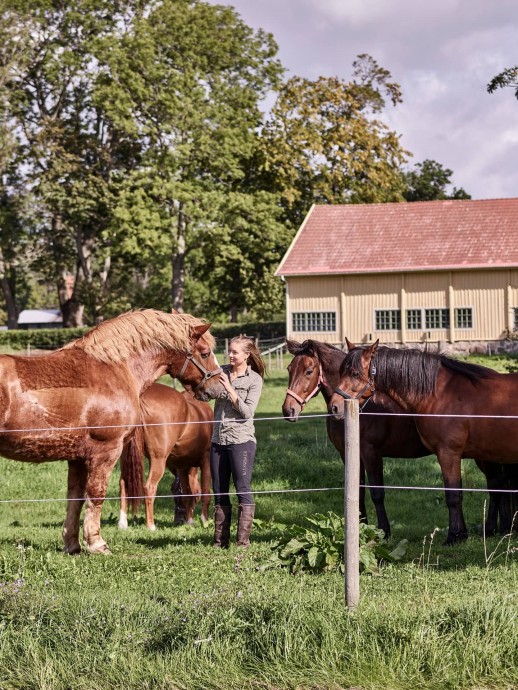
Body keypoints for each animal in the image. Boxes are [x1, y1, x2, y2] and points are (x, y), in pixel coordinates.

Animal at [120, 382, 213, 528]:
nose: (179, 520)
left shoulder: (182, 467)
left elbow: (188, 494)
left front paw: (190, 521)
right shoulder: (206, 461)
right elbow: (204, 493)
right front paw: (204, 521)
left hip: (127, 459)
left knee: (124, 484)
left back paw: (123, 523)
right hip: (158, 460)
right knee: (149, 487)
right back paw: (151, 526)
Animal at [284, 336, 430, 536]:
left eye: (308, 371)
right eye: (289, 369)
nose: (288, 410)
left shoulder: (371, 453)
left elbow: (377, 493)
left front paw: (384, 532)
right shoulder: (348, 454)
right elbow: (358, 491)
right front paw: (360, 528)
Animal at [332, 342, 518, 540]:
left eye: (354, 373)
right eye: (341, 371)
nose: (334, 406)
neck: (441, 393)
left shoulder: (448, 453)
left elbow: (453, 495)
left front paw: (453, 536)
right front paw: (461, 534)